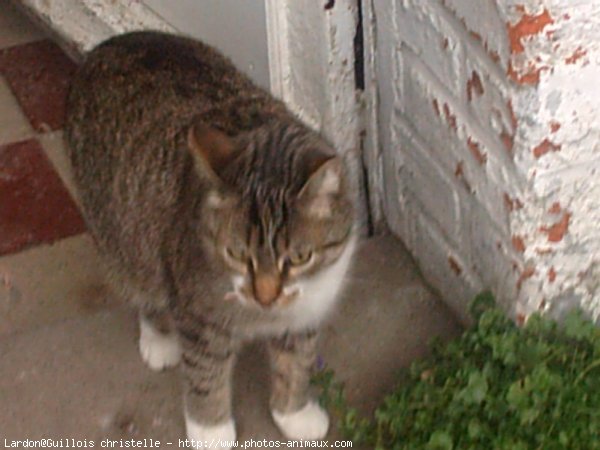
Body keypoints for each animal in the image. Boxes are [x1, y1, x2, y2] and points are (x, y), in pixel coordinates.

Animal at [65, 31, 356, 446]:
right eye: (236, 253)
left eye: (300, 258)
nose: (265, 296)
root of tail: (110, 44)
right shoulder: (198, 317)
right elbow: (206, 375)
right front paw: (211, 430)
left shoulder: (307, 310)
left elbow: (296, 362)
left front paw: (295, 414)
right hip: (119, 232)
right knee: (140, 282)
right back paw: (158, 339)